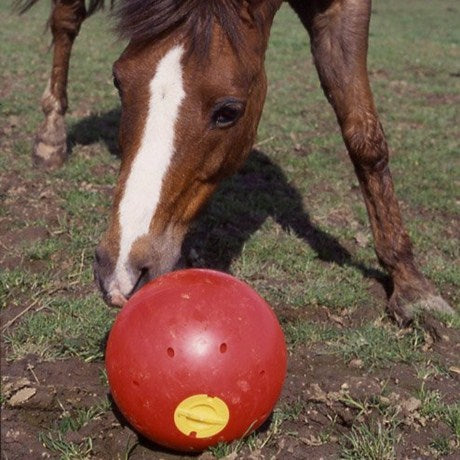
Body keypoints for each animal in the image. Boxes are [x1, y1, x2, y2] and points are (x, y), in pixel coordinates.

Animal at [17, 0, 452, 324]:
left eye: (229, 111)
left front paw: (411, 285)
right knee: (65, 20)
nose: (120, 271)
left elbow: (365, 136)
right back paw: (51, 137)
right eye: (117, 81)